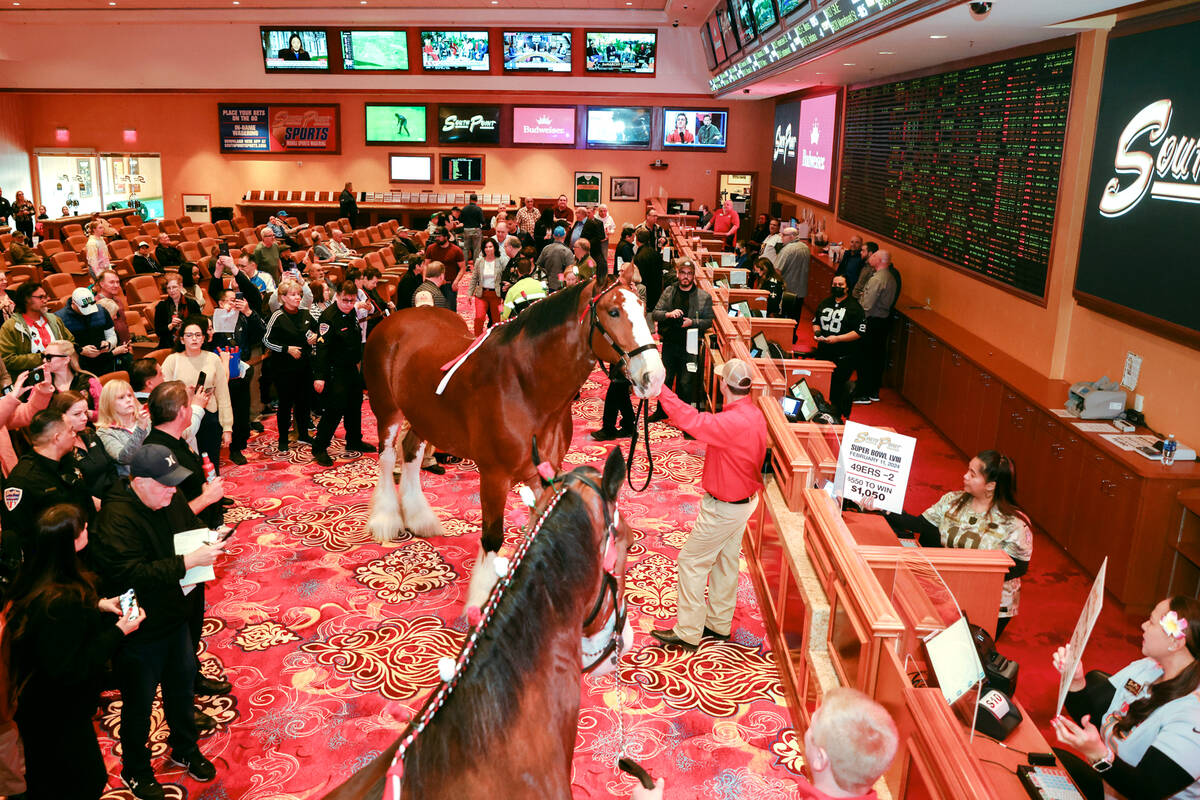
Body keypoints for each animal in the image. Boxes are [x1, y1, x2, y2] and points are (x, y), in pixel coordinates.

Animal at [364, 275, 667, 556]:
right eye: (613, 312)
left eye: (642, 306)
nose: (654, 376)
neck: (525, 387)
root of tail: (395, 317)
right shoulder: (494, 477)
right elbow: (492, 540)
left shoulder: (543, 472)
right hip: (388, 412)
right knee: (387, 457)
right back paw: (386, 521)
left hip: (423, 416)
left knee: (411, 452)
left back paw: (420, 519)